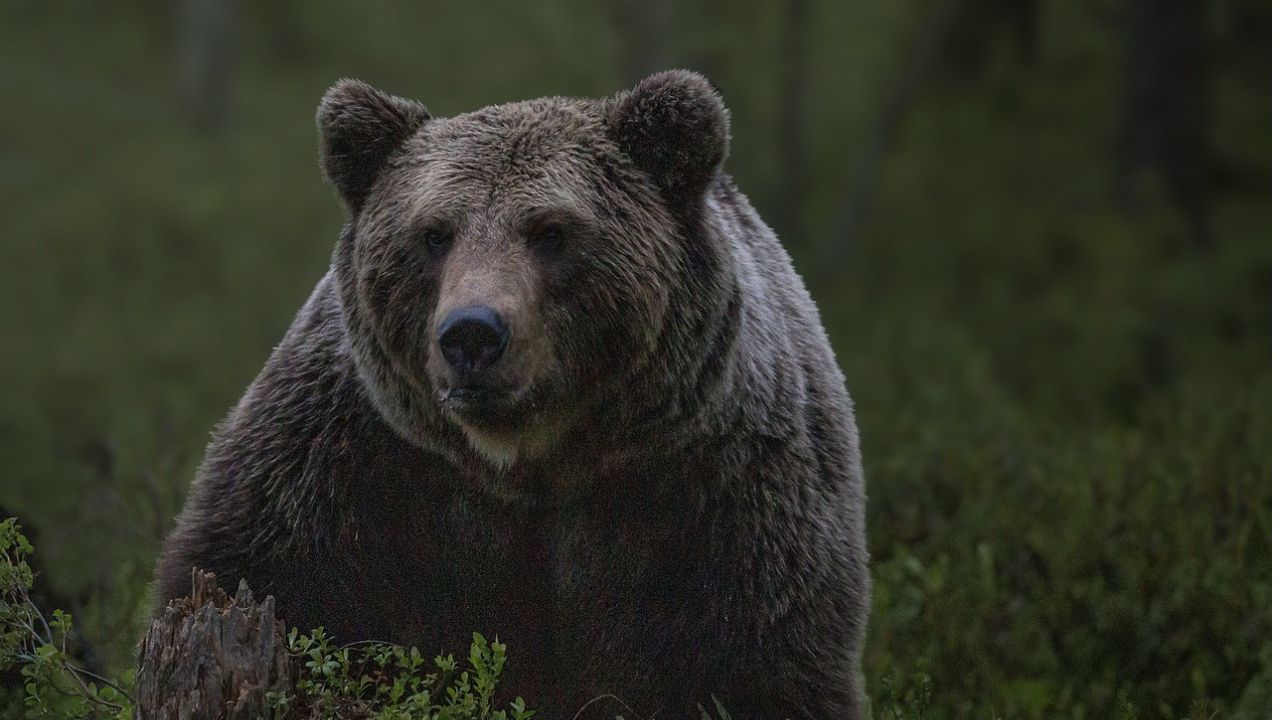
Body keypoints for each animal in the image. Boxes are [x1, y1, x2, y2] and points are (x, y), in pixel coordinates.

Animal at [154, 70, 869, 719]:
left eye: (550, 231)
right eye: (434, 233)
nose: (472, 334)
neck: (528, 461)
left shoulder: (719, 494)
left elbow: (756, 664)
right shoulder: (347, 466)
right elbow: (264, 577)